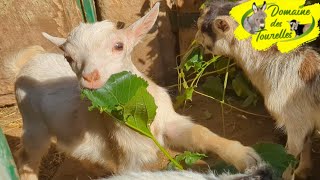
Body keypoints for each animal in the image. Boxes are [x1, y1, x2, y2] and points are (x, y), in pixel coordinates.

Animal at [195, 1, 320, 179]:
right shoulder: (305, 121)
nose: (195, 38)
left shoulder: (296, 122)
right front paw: (303, 170)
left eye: (201, 28)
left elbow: (289, 154)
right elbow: (306, 144)